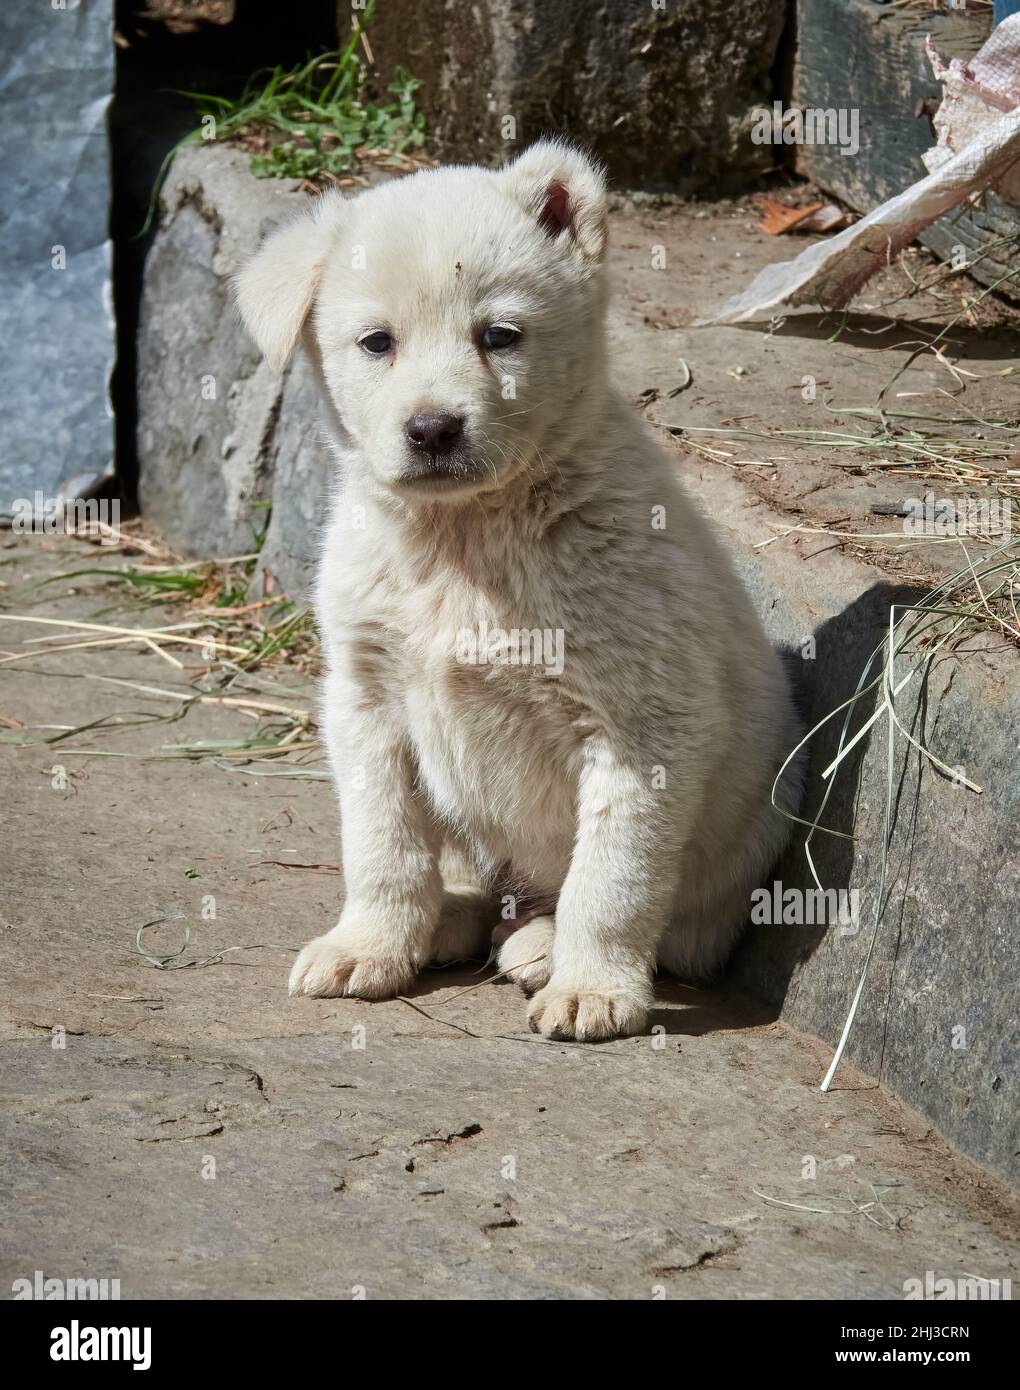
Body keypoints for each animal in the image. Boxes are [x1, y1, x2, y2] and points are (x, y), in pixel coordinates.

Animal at [236, 141, 800, 1039]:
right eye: (376, 342)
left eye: (500, 336)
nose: (433, 429)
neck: (463, 535)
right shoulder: (366, 691)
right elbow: (382, 839)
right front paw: (368, 947)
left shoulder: (645, 716)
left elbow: (614, 872)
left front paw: (592, 990)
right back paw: (455, 920)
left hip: (755, 820)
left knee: (682, 923)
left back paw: (538, 946)